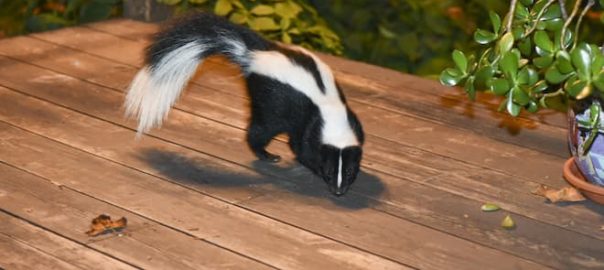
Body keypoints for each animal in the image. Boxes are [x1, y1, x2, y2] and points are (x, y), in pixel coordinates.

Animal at [124, 12, 364, 196]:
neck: (330, 107)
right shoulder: (310, 123)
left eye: (349, 172)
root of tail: (253, 54)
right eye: (330, 172)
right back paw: (267, 155)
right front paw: (310, 164)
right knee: (259, 130)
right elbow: (303, 149)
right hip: (268, 101)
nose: (339, 191)